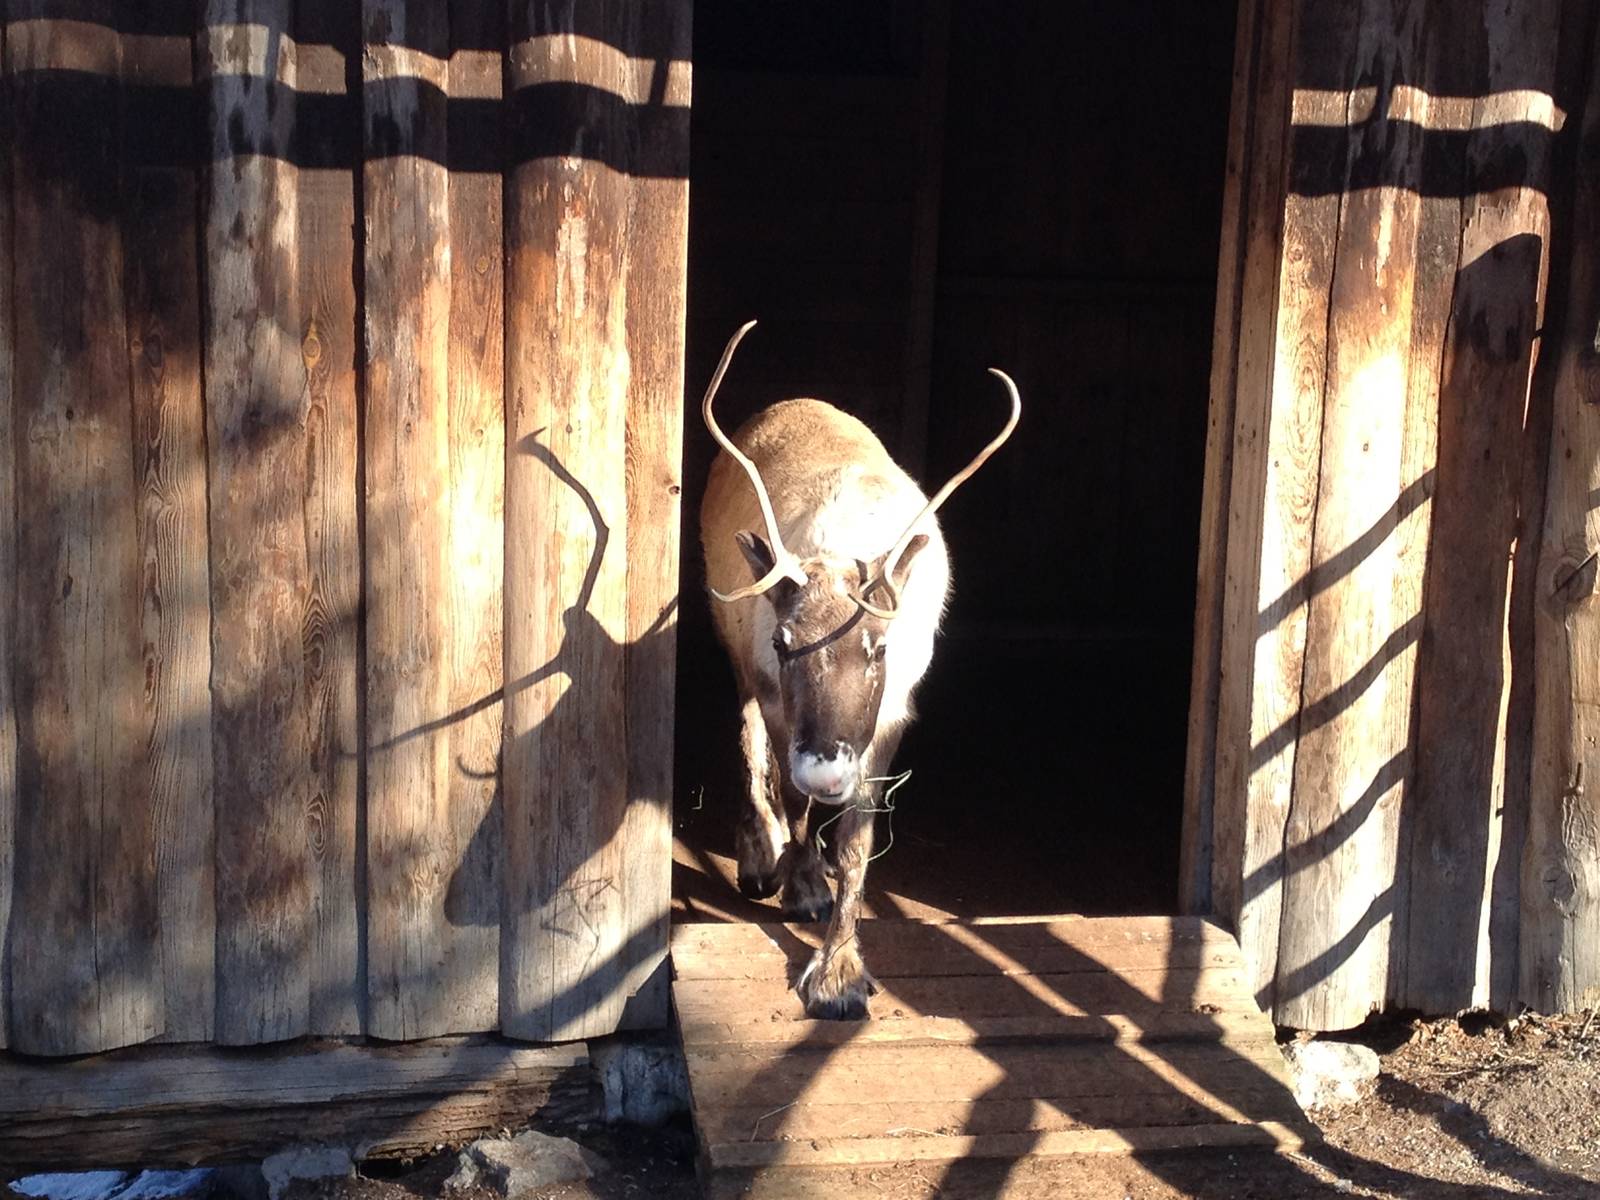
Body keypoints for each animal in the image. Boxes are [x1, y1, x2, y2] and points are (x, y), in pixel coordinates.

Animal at [698, 320, 1020, 1019]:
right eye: (786, 640)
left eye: (881, 646)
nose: (827, 770)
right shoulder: (775, 693)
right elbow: (793, 800)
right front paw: (801, 888)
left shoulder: (891, 717)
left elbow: (856, 841)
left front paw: (838, 969)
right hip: (736, 659)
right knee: (748, 744)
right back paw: (759, 856)